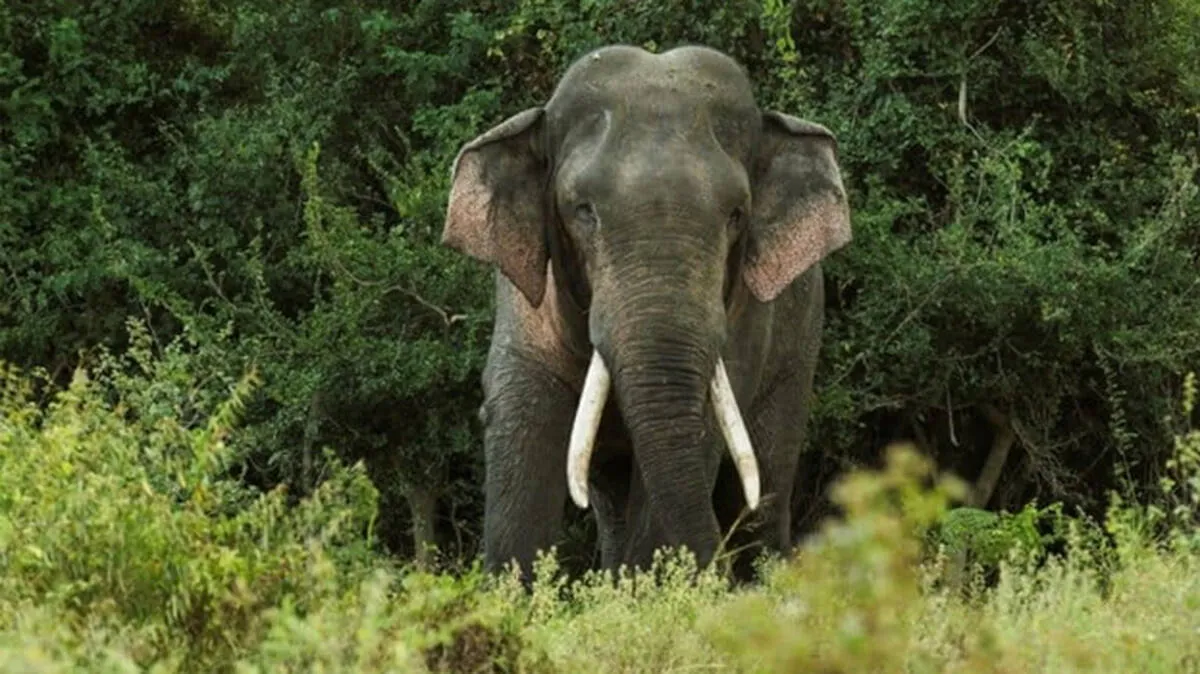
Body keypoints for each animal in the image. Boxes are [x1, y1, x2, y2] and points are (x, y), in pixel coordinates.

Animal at [441, 44, 852, 581]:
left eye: (736, 215)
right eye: (582, 210)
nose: (712, 572)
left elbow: (699, 431)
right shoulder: (527, 306)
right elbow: (521, 415)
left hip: (799, 344)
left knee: (760, 489)